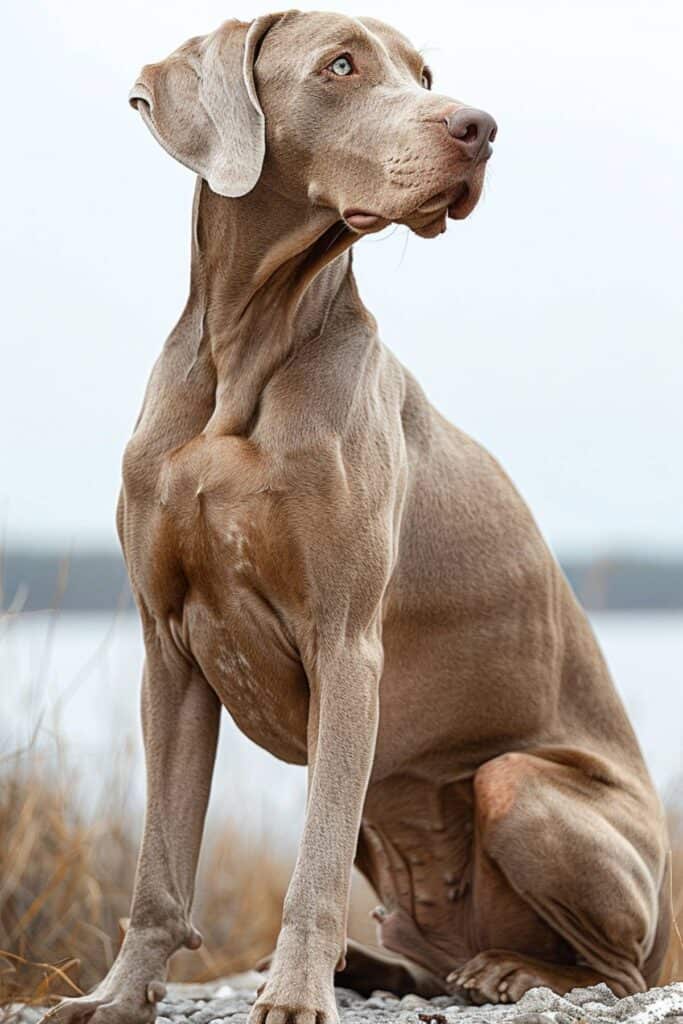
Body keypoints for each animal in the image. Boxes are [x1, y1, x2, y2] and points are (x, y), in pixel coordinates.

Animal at [50, 12, 671, 1024]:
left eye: (424, 74)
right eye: (341, 66)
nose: (479, 125)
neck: (248, 348)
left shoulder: (344, 646)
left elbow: (313, 859)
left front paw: (296, 993)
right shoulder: (168, 651)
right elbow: (159, 865)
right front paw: (119, 995)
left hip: (522, 788)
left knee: (615, 972)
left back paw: (507, 973)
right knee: (426, 951)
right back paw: (382, 967)